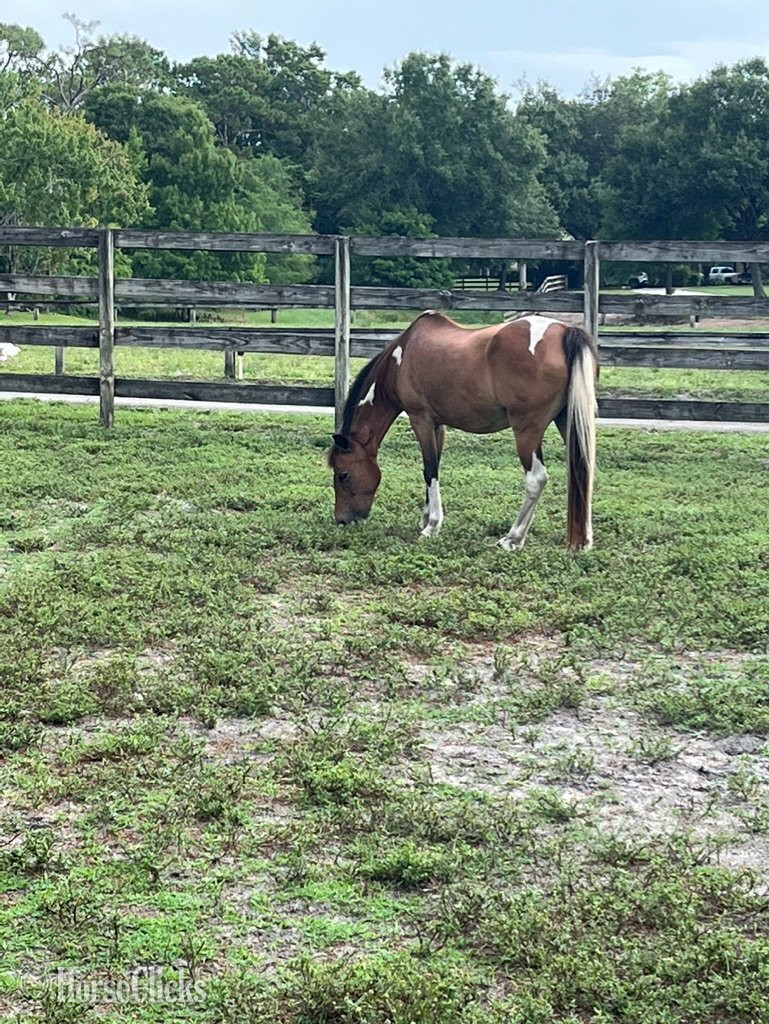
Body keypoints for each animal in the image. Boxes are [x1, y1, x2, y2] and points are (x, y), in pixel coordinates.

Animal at [328, 311, 598, 550]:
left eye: (343, 474)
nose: (342, 520)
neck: (400, 360)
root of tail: (564, 332)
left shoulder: (420, 419)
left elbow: (430, 470)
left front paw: (431, 526)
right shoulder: (437, 425)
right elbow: (431, 468)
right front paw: (425, 519)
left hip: (526, 429)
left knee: (536, 479)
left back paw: (513, 538)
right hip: (568, 421)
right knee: (583, 471)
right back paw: (584, 540)